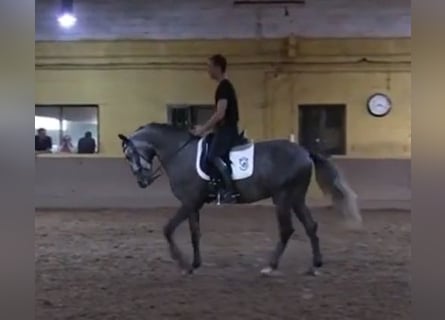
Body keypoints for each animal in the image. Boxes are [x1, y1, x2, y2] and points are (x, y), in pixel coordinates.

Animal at [118, 122, 360, 276]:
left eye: (130, 155)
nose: (142, 181)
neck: (180, 153)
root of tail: (304, 151)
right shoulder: (193, 204)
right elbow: (195, 233)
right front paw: (195, 264)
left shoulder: (188, 202)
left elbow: (168, 229)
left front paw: (182, 263)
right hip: (296, 197)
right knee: (310, 226)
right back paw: (315, 265)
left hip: (282, 197)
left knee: (287, 230)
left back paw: (270, 266)